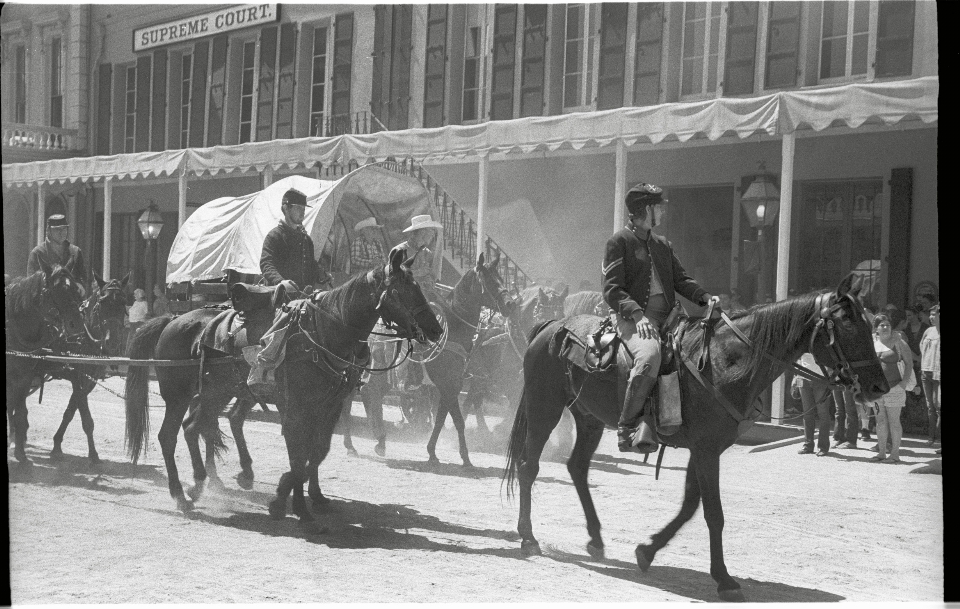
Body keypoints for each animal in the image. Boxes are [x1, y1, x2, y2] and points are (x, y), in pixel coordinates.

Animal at [5, 258, 87, 464]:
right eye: (56, 290)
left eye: (76, 289)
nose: (76, 324)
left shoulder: (24, 377)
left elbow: (20, 413)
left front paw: (21, 454)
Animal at [47, 270, 130, 460]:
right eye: (102, 302)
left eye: (123, 302)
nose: (112, 342)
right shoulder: (77, 378)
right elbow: (86, 418)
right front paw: (93, 454)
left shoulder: (88, 380)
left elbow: (70, 411)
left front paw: (57, 443)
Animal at [124, 245, 442, 516]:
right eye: (404, 290)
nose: (435, 329)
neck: (322, 334)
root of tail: (172, 320)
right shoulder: (296, 407)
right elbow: (298, 455)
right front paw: (289, 500)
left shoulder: (329, 406)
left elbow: (317, 451)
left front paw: (314, 497)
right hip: (178, 396)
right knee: (170, 436)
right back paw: (181, 494)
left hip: (217, 393)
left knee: (196, 427)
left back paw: (206, 481)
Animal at [424, 252, 516, 466]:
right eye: (490, 281)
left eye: (501, 278)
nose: (511, 304)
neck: (452, 330)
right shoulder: (449, 384)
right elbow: (457, 420)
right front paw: (465, 457)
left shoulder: (452, 385)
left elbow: (442, 418)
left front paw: (432, 451)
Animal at [502, 274, 884, 600]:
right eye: (848, 326)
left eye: (869, 325)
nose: (880, 386)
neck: (727, 361)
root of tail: (553, 326)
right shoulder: (705, 449)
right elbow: (713, 513)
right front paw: (725, 580)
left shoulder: (704, 449)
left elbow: (689, 506)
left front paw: (647, 551)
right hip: (545, 408)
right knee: (529, 466)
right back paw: (528, 538)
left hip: (588, 418)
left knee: (578, 468)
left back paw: (595, 540)